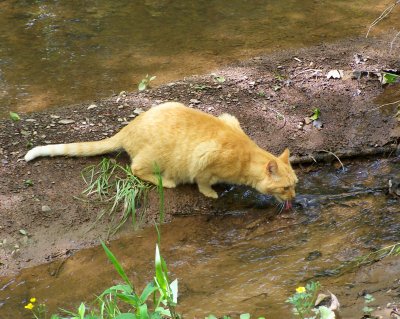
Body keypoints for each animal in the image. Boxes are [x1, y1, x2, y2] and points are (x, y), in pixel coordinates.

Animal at [24, 102, 296, 204]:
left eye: (295, 185)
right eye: (285, 188)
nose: (294, 197)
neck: (246, 156)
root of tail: (128, 128)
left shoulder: (229, 118)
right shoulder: (203, 157)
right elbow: (203, 181)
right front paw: (211, 192)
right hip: (157, 157)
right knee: (135, 169)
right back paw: (167, 181)